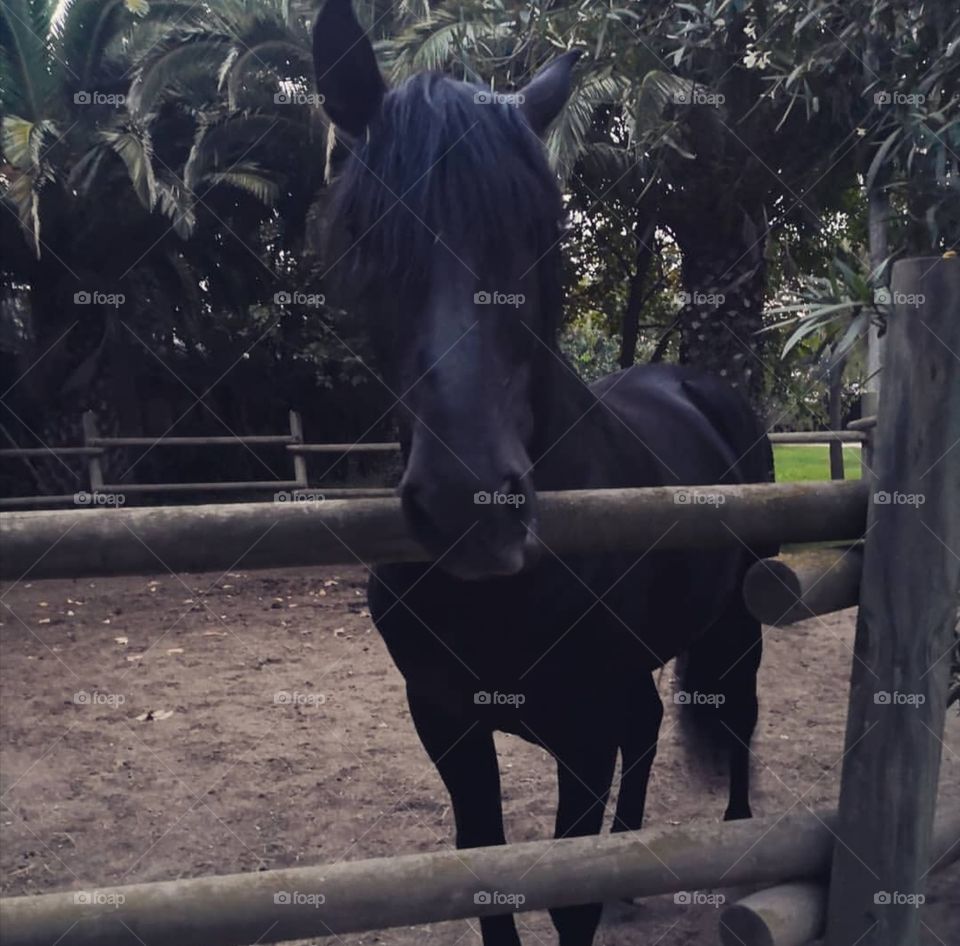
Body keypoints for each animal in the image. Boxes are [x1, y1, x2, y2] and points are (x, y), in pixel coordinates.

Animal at [313, 2, 775, 943]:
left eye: (538, 235)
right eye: (369, 234)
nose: (471, 507)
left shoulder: (582, 735)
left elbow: (570, 901)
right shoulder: (446, 724)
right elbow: (487, 880)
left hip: (738, 627)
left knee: (740, 720)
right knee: (650, 731)